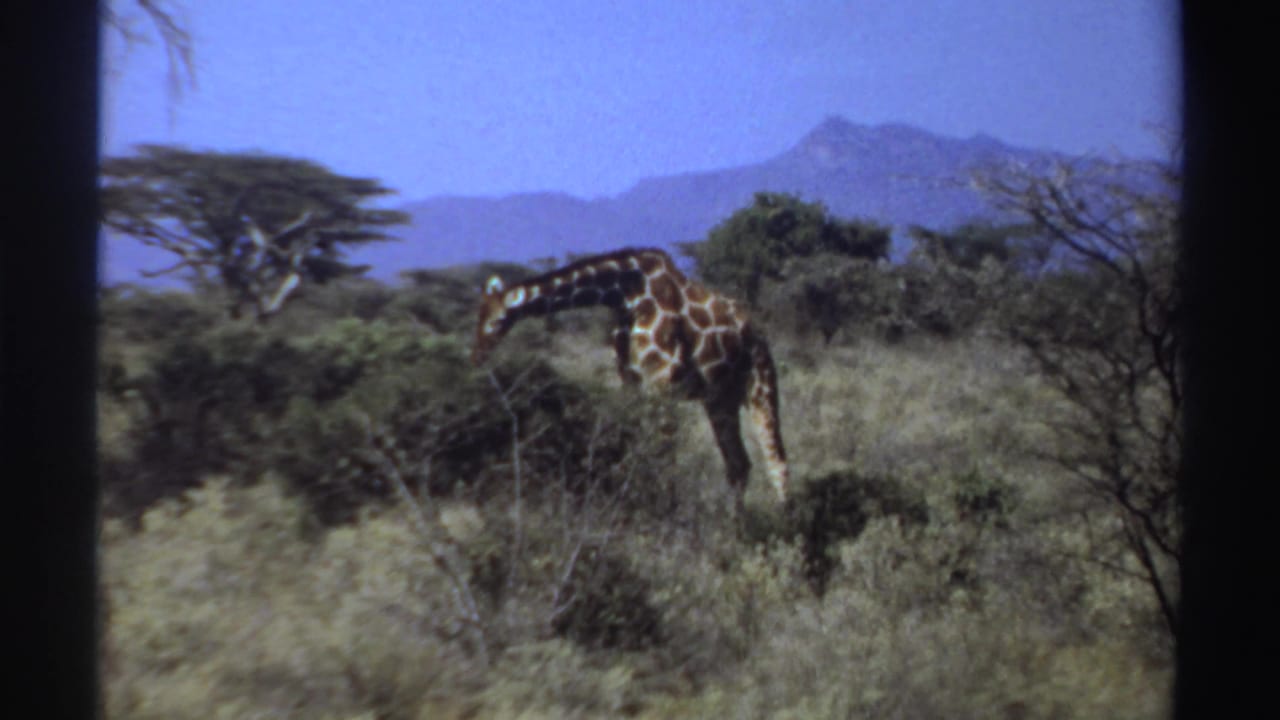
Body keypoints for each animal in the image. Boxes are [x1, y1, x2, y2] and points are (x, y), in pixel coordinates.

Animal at [471, 247, 788, 504]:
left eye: (497, 320)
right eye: (478, 315)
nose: (477, 356)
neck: (627, 296)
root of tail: (757, 333)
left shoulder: (662, 383)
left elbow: (663, 454)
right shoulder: (632, 382)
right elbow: (638, 446)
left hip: (760, 386)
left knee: (777, 461)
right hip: (720, 400)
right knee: (739, 465)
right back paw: (737, 529)